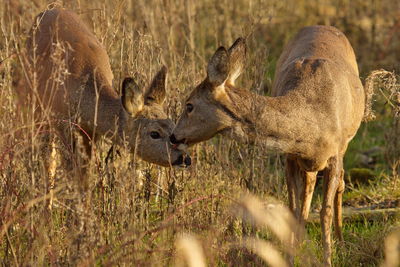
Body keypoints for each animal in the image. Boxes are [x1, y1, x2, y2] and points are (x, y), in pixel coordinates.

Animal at [19, 6, 191, 176]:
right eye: (154, 133)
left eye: (173, 124)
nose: (185, 158)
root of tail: (51, 8)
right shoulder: (61, 123)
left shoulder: (91, 132)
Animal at [169, 24, 368, 266]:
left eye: (189, 105)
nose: (173, 136)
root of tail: (322, 25)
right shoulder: (290, 157)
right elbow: (293, 210)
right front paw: (291, 258)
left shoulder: (335, 154)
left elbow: (325, 211)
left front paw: (327, 259)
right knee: (309, 189)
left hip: (345, 143)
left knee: (340, 185)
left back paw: (340, 240)